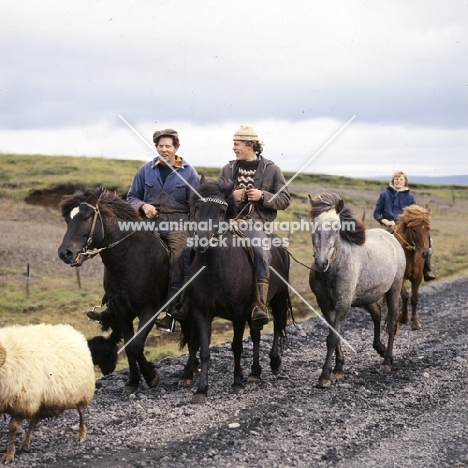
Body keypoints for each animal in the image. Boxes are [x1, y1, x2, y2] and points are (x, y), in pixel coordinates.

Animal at [0, 324, 95, 462]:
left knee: (81, 413)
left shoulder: (22, 402)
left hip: (83, 393)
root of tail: (73, 331)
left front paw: (9, 455)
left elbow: (12, 428)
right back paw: (26, 443)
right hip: (40, 400)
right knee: (34, 421)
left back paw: (82, 434)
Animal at [57, 186, 170, 394]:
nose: (65, 253)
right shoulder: (122, 311)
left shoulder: (150, 309)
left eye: (86, 217)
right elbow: (128, 346)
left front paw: (151, 377)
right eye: (68, 219)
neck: (130, 258)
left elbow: (136, 345)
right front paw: (133, 381)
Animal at [178, 177, 292, 404]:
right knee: (256, 334)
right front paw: (201, 389)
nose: (201, 240)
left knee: (276, 327)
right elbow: (204, 349)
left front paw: (237, 382)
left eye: (222, 211)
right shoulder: (201, 313)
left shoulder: (238, 314)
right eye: (197, 206)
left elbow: (237, 346)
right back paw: (255, 371)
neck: (215, 269)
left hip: (279, 298)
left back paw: (274, 362)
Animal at [308, 193, 404, 388]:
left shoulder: (343, 304)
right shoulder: (325, 304)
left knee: (391, 324)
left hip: (394, 290)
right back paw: (380, 349)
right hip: (367, 297)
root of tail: (391, 237)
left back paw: (387, 361)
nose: (321, 263)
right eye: (313, 226)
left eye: (336, 228)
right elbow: (333, 336)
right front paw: (338, 368)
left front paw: (324, 376)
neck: (332, 270)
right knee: (377, 314)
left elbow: (333, 337)